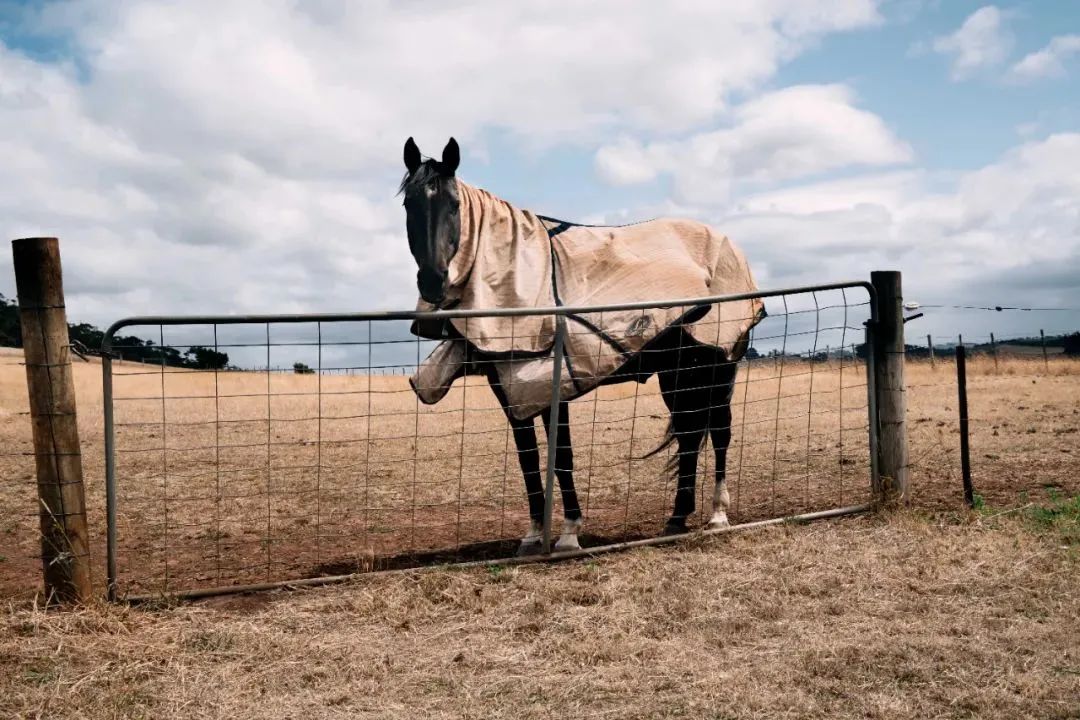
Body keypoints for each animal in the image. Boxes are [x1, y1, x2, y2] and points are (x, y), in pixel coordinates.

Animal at [399, 138, 760, 557]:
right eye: (409, 204)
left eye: (455, 204)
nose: (433, 281)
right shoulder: (510, 387)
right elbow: (528, 457)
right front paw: (534, 534)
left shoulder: (552, 383)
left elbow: (562, 456)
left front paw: (569, 532)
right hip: (678, 375)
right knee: (689, 437)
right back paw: (677, 518)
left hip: (714, 367)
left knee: (718, 432)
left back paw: (718, 515)